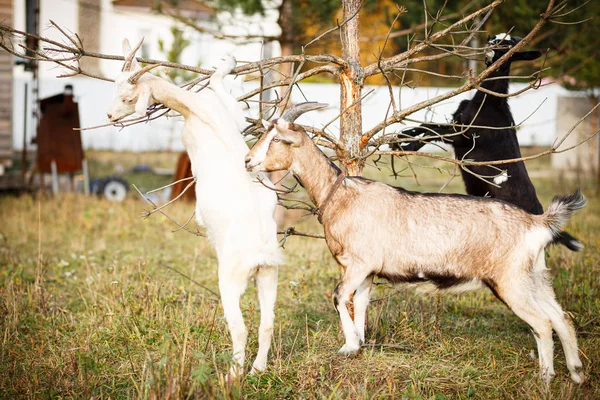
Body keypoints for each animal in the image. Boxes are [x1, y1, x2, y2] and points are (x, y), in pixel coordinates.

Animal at [106, 38, 282, 376]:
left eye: (128, 96)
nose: (109, 115)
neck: (196, 112)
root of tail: (259, 254)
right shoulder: (231, 116)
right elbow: (217, 83)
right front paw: (229, 61)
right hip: (269, 275)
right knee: (267, 325)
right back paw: (257, 370)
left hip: (230, 280)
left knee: (240, 329)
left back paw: (232, 376)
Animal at [244, 103, 584, 384]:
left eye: (277, 139)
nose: (247, 161)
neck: (340, 195)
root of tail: (538, 224)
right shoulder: (368, 271)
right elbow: (362, 302)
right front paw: (359, 343)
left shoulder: (358, 264)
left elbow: (340, 296)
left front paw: (349, 346)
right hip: (535, 276)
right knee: (562, 318)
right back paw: (577, 374)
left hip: (509, 280)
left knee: (542, 323)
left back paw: (545, 377)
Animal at [394, 33, 580, 250]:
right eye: (495, 37)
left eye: (510, 44)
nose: (491, 42)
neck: (489, 101)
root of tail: (545, 221)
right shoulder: (457, 124)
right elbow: (429, 125)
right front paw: (402, 137)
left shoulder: (465, 136)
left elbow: (433, 132)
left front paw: (405, 145)